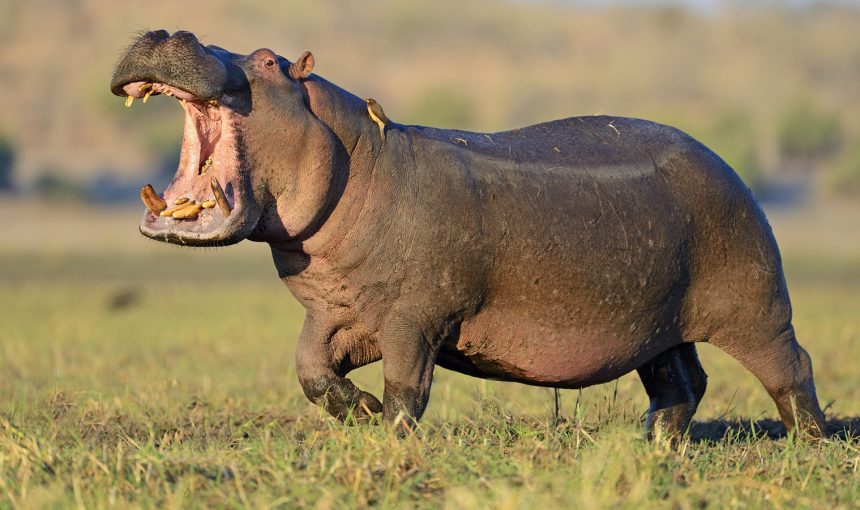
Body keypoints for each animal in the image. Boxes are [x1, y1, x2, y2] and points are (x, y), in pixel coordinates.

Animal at [110, 30, 826, 439]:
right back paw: (648, 444)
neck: (357, 155)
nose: (169, 28)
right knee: (682, 382)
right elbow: (310, 371)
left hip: (758, 303)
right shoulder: (334, 313)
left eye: (267, 60)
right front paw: (360, 414)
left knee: (792, 368)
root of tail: (726, 163)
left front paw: (390, 438)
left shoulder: (413, 318)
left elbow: (407, 388)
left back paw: (809, 444)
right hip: (656, 320)